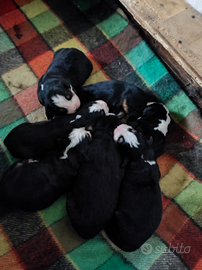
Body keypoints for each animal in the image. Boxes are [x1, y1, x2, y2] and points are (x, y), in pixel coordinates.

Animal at [105, 123, 162, 252]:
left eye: (120, 140)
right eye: (133, 130)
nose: (119, 126)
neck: (142, 158)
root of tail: (132, 247)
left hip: (117, 217)